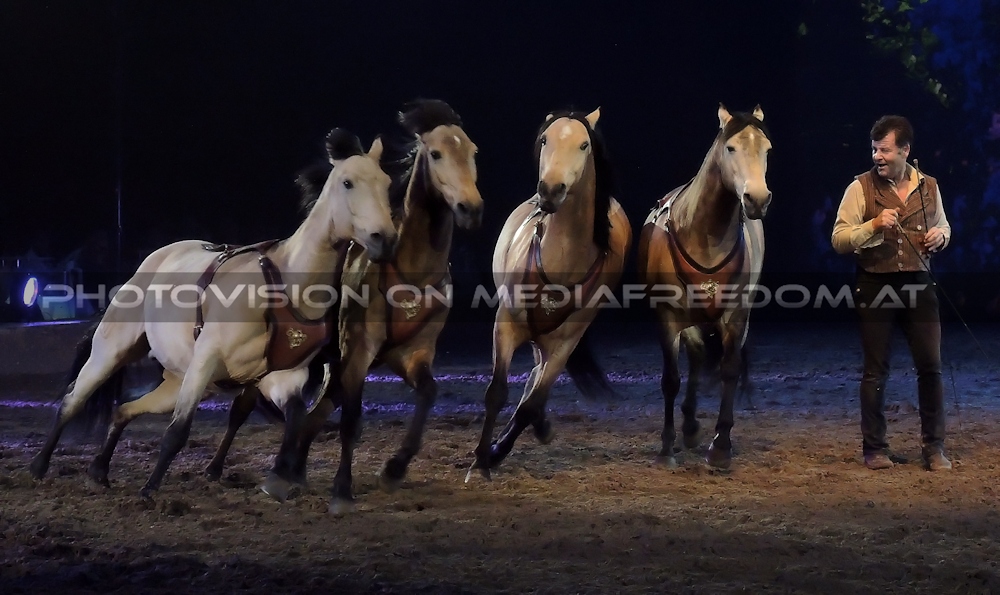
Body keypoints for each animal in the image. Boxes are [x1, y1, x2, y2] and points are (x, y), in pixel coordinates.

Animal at [29, 129, 398, 498]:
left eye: (386, 182)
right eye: (348, 182)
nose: (384, 238)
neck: (286, 284)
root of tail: (146, 266)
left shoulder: (283, 375)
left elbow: (295, 417)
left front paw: (280, 476)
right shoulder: (205, 361)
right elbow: (178, 431)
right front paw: (150, 490)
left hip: (176, 382)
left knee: (123, 409)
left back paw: (99, 469)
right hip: (113, 352)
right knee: (73, 400)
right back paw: (39, 466)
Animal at [466, 107, 632, 481]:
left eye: (584, 145)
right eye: (545, 139)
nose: (551, 190)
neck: (561, 257)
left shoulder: (565, 342)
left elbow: (531, 404)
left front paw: (495, 453)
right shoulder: (506, 324)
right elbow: (496, 392)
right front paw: (479, 464)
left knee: (536, 382)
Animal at [637, 104, 771, 469]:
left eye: (767, 150)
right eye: (731, 148)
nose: (757, 199)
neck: (704, 235)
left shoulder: (736, 317)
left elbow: (729, 371)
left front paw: (721, 446)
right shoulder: (667, 317)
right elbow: (671, 379)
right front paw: (666, 448)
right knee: (695, 358)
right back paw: (687, 427)